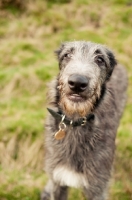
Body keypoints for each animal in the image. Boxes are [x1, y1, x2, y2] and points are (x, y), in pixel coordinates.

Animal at [41, 41, 127, 200]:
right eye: (67, 55)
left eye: (100, 59)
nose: (77, 83)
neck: (75, 121)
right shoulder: (58, 180)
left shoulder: (97, 187)